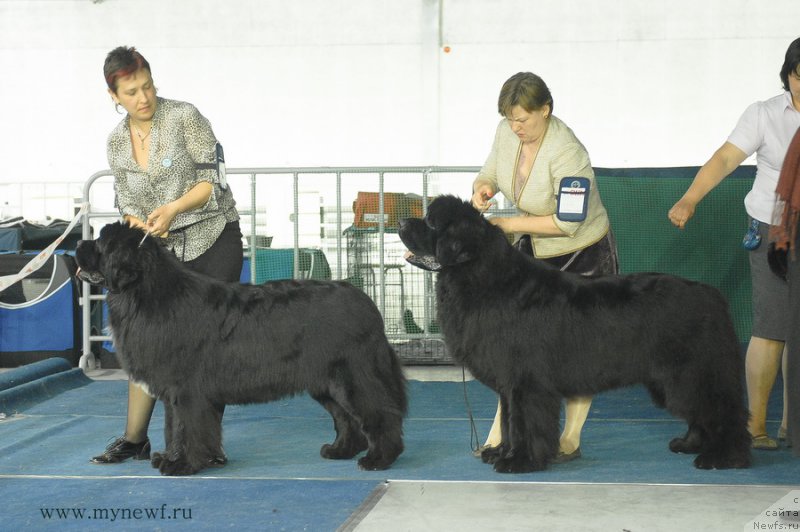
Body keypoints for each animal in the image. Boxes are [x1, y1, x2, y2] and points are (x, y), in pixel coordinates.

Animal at [75, 222, 406, 476]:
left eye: (100, 243)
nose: (78, 242)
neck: (147, 293)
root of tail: (367, 303)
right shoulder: (173, 392)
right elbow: (173, 427)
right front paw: (171, 458)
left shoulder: (187, 390)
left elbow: (187, 427)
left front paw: (183, 465)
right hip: (325, 382)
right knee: (346, 419)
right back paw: (340, 450)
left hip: (354, 376)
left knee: (380, 414)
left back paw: (378, 459)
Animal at [400, 195, 752, 474]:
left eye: (430, 223)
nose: (402, 220)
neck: (483, 278)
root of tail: (711, 294)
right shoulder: (509, 382)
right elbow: (508, 420)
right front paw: (502, 452)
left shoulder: (526, 381)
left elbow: (523, 421)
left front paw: (519, 461)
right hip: (672, 381)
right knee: (701, 413)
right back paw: (690, 444)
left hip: (691, 374)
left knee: (723, 411)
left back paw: (724, 457)